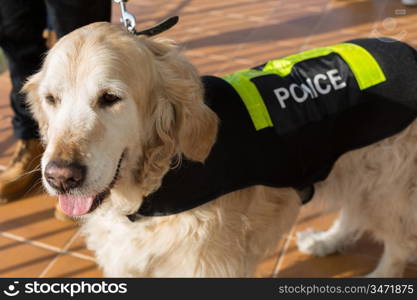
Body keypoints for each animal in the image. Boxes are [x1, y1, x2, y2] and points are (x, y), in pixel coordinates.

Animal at [23, 22, 417, 278]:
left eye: (110, 98)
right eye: (51, 99)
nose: (60, 178)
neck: (159, 180)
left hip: (387, 185)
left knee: (399, 241)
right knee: (354, 215)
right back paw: (326, 241)